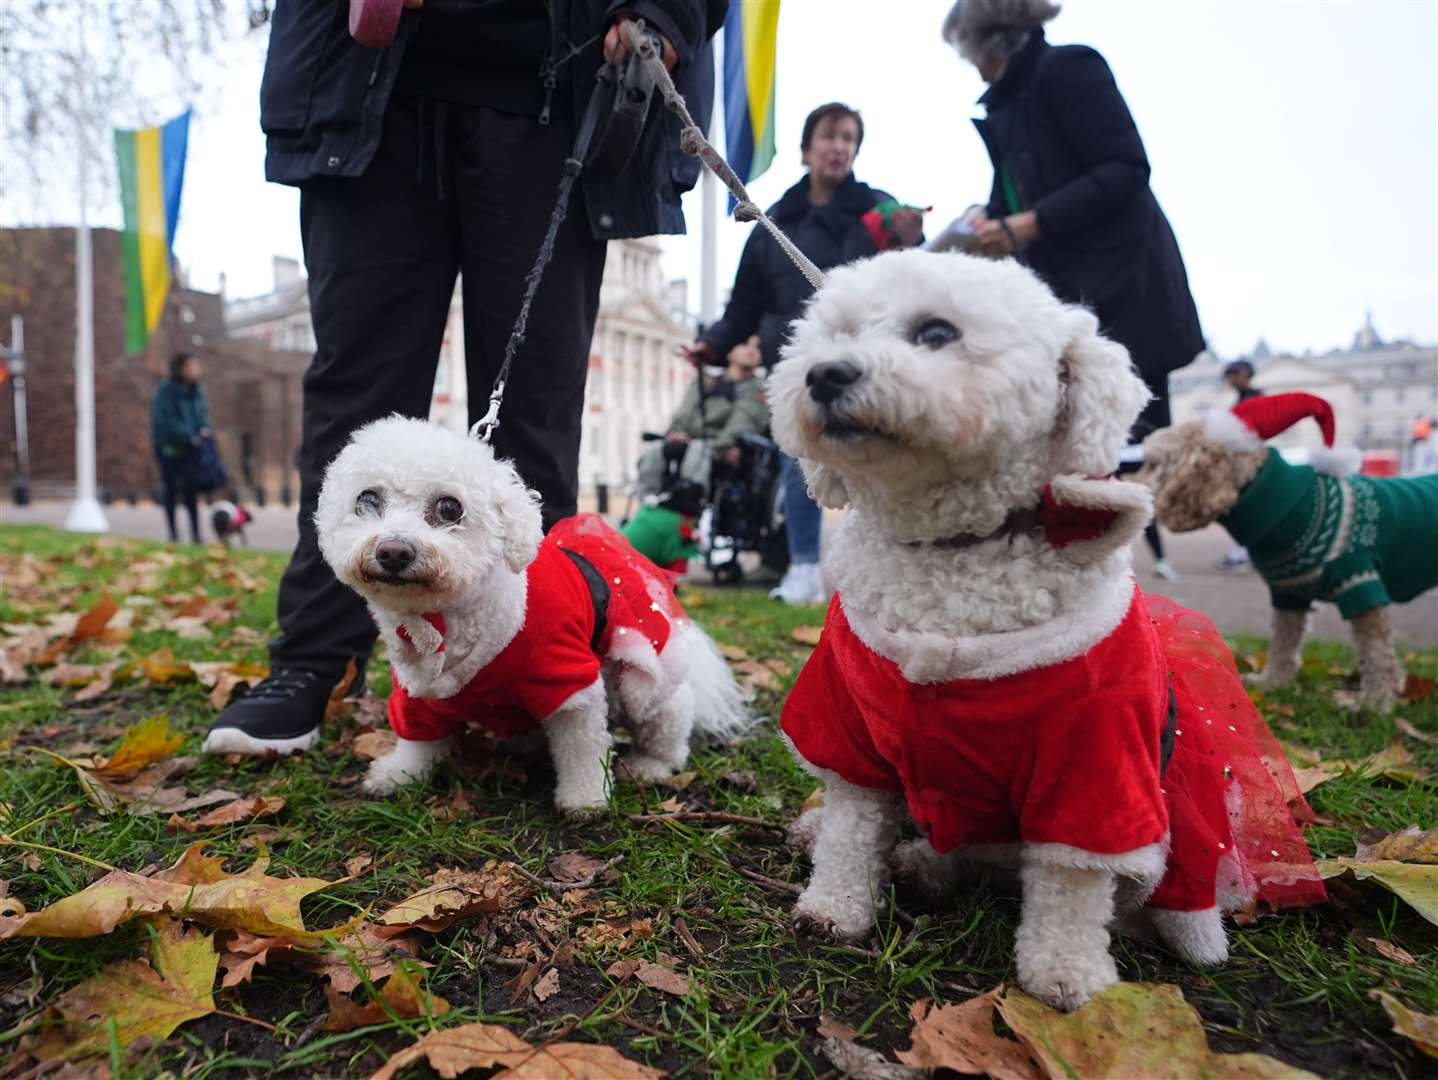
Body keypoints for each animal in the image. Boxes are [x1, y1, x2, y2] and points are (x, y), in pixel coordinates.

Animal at [310, 417, 747, 816]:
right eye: (367, 499)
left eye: (449, 508)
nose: (394, 551)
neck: (446, 620)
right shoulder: (418, 689)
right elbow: (417, 738)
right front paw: (398, 774)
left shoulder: (568, 681)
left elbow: (582, 748)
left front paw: (586, 798)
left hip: (645, 688)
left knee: (667, 731)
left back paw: (650, 765)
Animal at [765, 248, 1322, 1012]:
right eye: (836, 333)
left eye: (936, 333)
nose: (824, 374)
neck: (948, 558)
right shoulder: (850, 717)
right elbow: (852, 820)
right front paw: (835, 906)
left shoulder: (1093, 759)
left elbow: (1071, 881)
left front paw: (1067, 975)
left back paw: (924, 867)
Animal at [1138, 394, 1432, 713]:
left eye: (1153, 463)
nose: (1124, 478)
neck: (1290, 506)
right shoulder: (1288, 592)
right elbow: (1283, 643)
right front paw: (1271, 683)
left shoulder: (1359, 583)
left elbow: (1377, 652)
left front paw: (1374, 703)